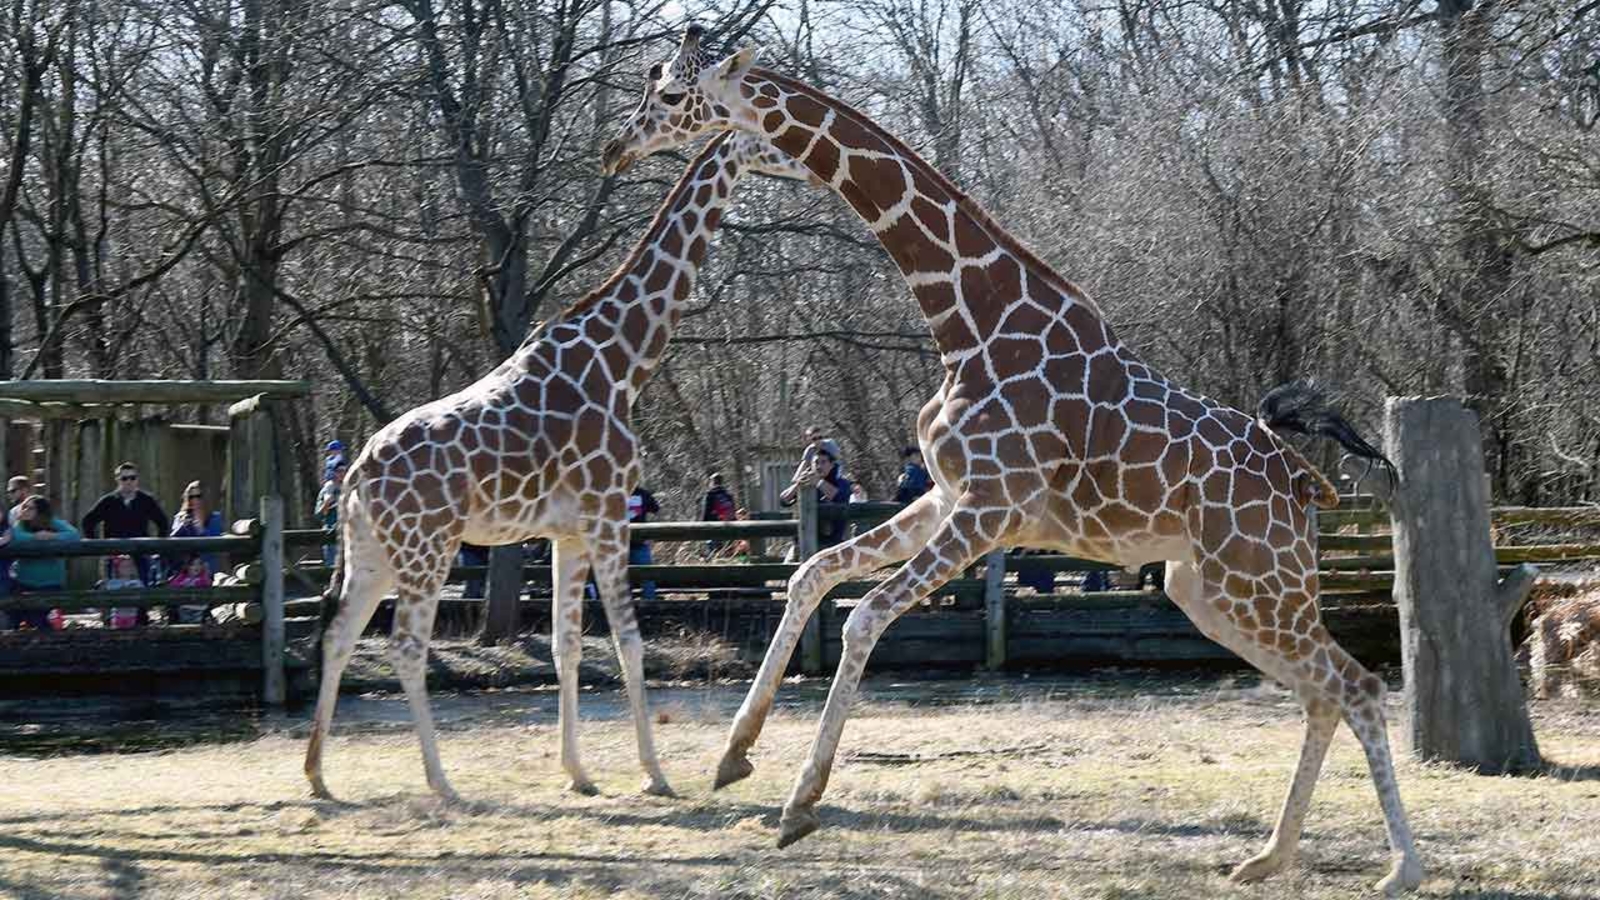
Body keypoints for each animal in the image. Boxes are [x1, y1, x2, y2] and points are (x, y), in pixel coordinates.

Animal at [303, 130, 811, 802]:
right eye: (768, 143)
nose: (807, 164)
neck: (623, 360)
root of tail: (356, 474)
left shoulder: (567, 531)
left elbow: (566, 643)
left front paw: (579, 772)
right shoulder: (610, 513)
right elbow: (628, 640)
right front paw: (655, 774)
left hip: (373, 551)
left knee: (339, 634)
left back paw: (317, 775)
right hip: (427, 547)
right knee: (406, 646)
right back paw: (442, 783)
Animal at [599, 27, 1425, 895]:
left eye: (672, 94)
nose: (615, 149)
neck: (969, 321)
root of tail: (1301, 481)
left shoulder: (991, 508)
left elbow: (864, 615)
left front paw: (799, 806)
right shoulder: (947, 494)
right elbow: (812, 572)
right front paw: (734, 755)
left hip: (1258, 582)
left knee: (1359, 685)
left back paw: (1401, 865)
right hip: (1207, 589)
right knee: (1323, 694)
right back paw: (1269, 855)